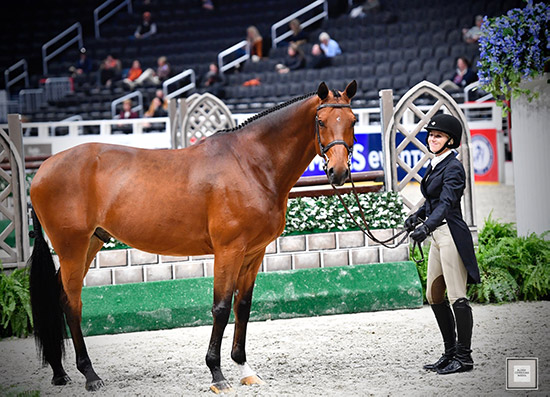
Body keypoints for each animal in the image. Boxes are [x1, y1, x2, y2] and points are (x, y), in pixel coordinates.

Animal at [28, 79, 360, 390]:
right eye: (320, 121)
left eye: (354, 120)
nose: (339, 172)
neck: (250, 164)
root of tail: (43, 169)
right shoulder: (229, 251)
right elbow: (221, 307)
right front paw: (217, 374)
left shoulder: (254, 253)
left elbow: (242, 306)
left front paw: (245, 369)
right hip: (72, 247)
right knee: (73, 302)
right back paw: (90, 374)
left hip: (92, 243)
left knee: (59, 296)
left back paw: (60, 372)